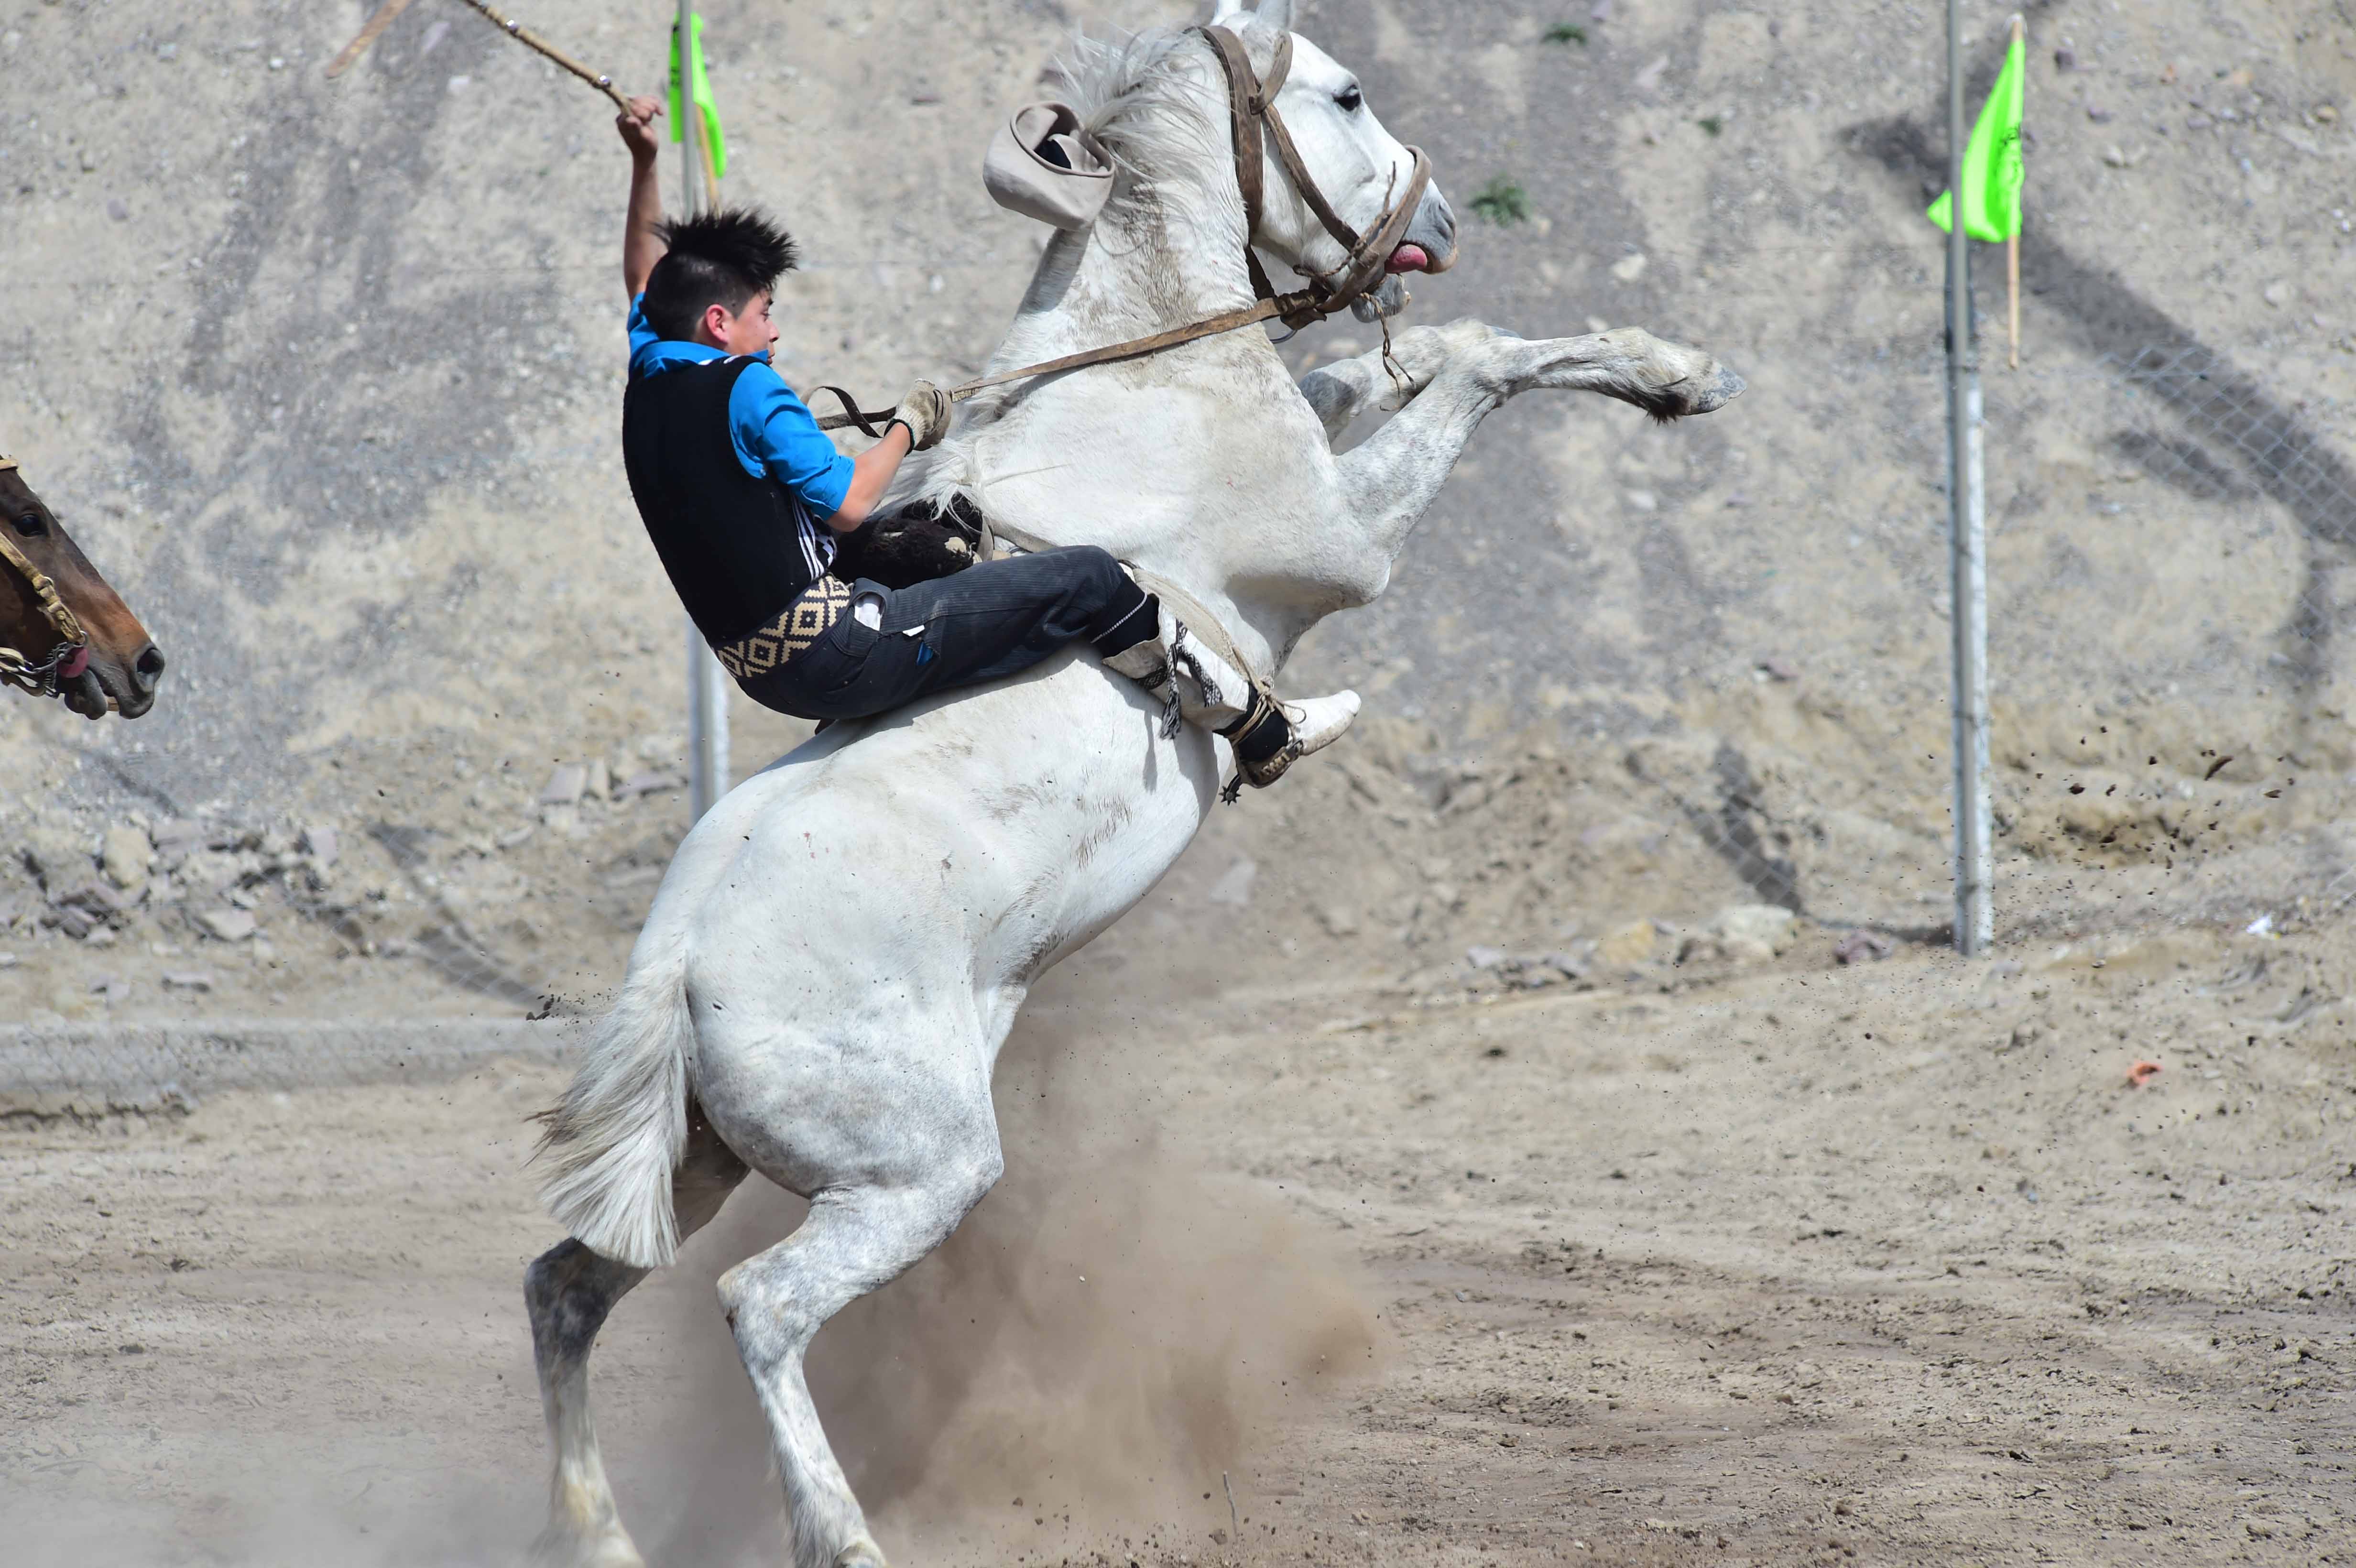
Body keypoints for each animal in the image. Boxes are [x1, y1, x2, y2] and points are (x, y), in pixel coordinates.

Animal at [521, 6, 1734, 1554]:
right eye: (1348, 92)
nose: (1443, 222)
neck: (1131, 363)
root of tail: (675, 968)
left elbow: (1373, 376)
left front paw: (1666, 373)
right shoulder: (1349, 544)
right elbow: (1465, 364)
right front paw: (1661, 367)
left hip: (693, 1161)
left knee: (565, 1286)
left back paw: (599, 1527)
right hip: (912, 1170)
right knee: (759, 1303)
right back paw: (839, 1529)